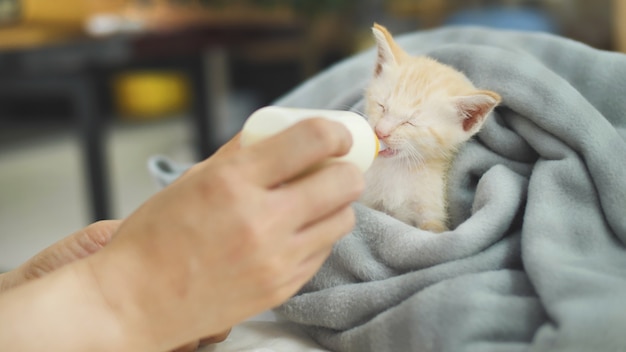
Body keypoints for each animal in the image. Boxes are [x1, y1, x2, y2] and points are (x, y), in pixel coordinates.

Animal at [358, 23, 500, 232]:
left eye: (410, 122)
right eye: (382, 106)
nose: (380, 132)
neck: (398, 168)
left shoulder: (432, 213)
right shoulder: (367, 201)